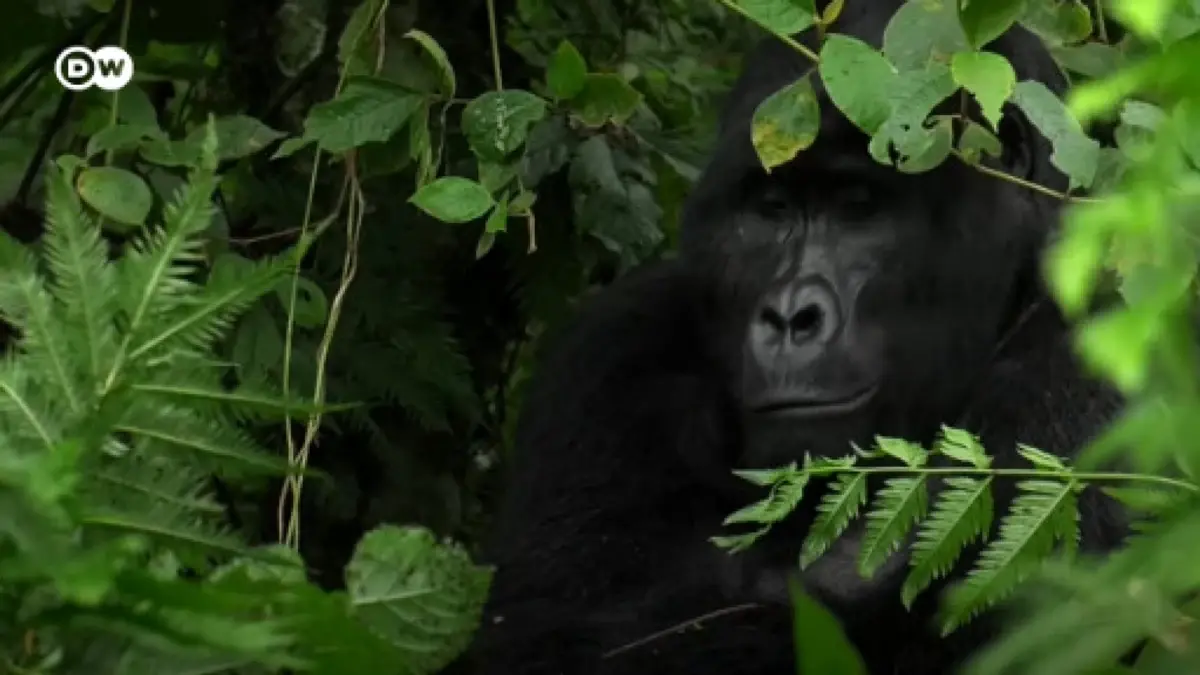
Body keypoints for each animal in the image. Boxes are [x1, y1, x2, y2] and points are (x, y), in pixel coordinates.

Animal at [456, 2, 1123, 667]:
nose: (789, 316)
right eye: (772, 210)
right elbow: (543, 635)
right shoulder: (608, 352)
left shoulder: (1085, 363)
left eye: (859, 207)